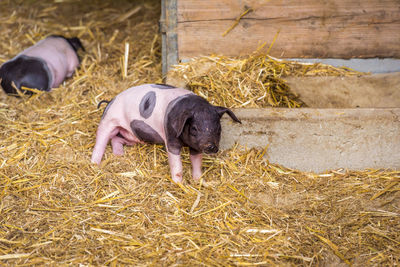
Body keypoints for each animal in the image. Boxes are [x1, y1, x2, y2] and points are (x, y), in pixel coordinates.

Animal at [92, 84, 241, 184]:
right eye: (194, 128)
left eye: (218, 128)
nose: (211, 147)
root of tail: (110, 101)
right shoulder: (171, 138)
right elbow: (176, 165)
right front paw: (179, 184)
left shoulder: (195, 146)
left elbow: (196, 162)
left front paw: (199, 181)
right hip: (108, 120)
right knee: (100, 141)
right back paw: (94, 164)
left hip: (133, 136)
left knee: (116, 139)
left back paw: (119, 155)